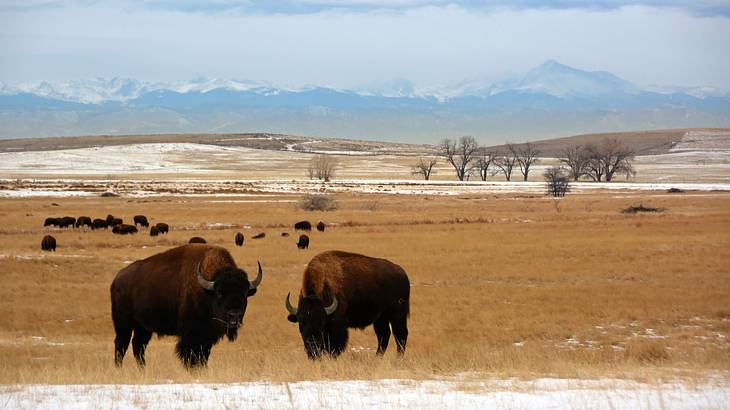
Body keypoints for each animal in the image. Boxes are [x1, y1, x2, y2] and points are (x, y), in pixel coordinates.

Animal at [109, 243, 264, 368]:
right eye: (220, 292)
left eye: (244, 293)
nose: (234, 315)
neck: (207, 291)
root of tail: (117, 279)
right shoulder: (191, 335)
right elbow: (191, 356)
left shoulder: (206, 337)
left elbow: (204, 356)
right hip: (124, 324)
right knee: (121, 344)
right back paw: (119, 368)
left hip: (143, 327)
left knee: (138, 346)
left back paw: (142, 370)